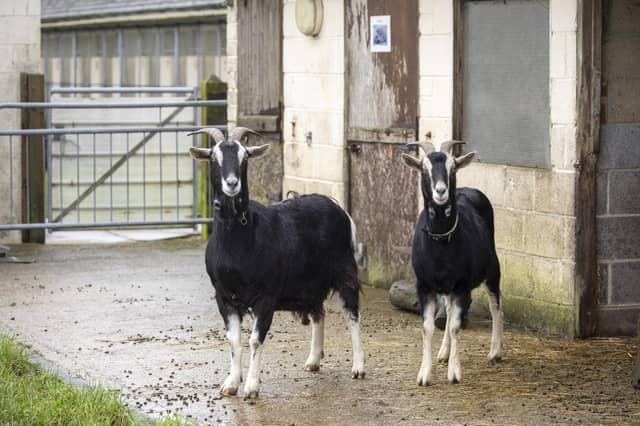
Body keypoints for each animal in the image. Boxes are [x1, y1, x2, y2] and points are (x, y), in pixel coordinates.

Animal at [188, 127, 365, 399]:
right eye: (214, 157)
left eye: (245, 157)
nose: (232, 184)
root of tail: (338, 208)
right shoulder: (224, 297)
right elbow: (234, 340)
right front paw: (231, 384)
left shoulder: (266, 297)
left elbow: (254, 340)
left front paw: (251, 387)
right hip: (310, 283)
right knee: (319, 313)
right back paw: (313, 360)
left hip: (345, 271)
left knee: (352, 314)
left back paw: (358, 367)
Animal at [401, 140, 503, 385]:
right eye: (424, 169)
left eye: (453, 168)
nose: (440, 191)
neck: (441, 245)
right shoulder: (424, 285)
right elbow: (427, 327)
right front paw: (424, 375)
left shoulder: (462, 285)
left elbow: (457, 326)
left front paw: (454, 373)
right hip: (447, 287)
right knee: (447, 310)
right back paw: (444, 353)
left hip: (492, 268)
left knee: (496, 306)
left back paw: (495, 352)